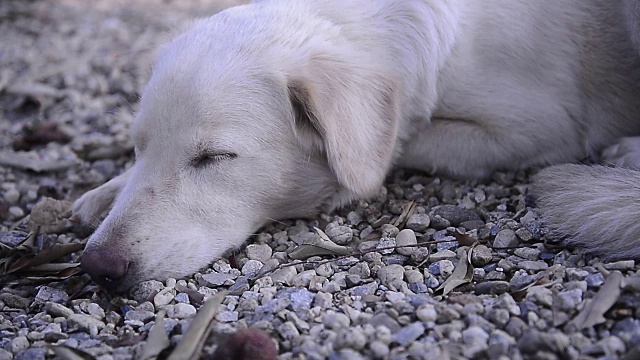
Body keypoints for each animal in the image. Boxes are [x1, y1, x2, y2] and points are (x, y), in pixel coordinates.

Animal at [72, 0, 640, 290]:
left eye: (214, 158)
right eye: (139, 148)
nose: (98, 266)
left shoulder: (541, 128)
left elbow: (401, 142)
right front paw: (107, 190)